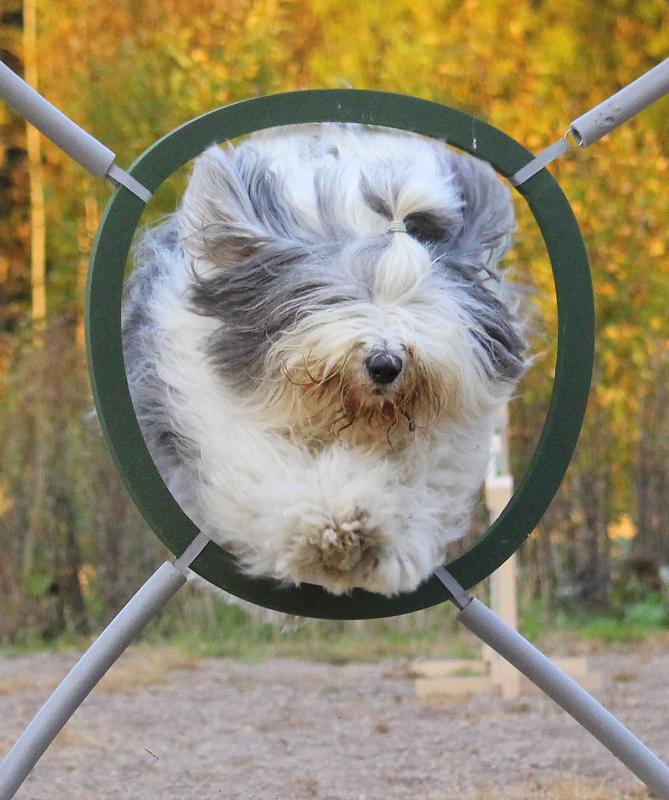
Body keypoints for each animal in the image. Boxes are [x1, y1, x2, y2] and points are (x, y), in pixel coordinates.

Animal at [122, 123, 526, 599]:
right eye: (333, 297)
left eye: (417, 300)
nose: (385, 363)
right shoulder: (222, 425)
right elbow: (273, 474)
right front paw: (335, 523)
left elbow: (418, 486)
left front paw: (373, 533)